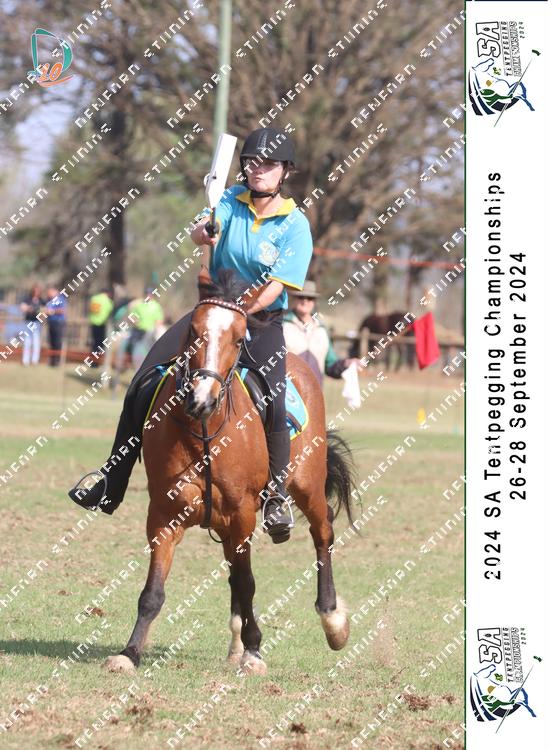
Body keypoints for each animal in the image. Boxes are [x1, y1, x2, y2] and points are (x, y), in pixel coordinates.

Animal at [103, 270, 357, 676]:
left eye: (239, 338)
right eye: (193, 330)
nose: (201, 398)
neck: (204, 432)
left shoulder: (241, 516)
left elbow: (248, 582)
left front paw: (255, 651)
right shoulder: (164, 516)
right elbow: (153, 592)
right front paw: (129, 653)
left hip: (306, 487)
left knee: (323, 533)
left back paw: (332, 621)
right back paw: (237, 644)